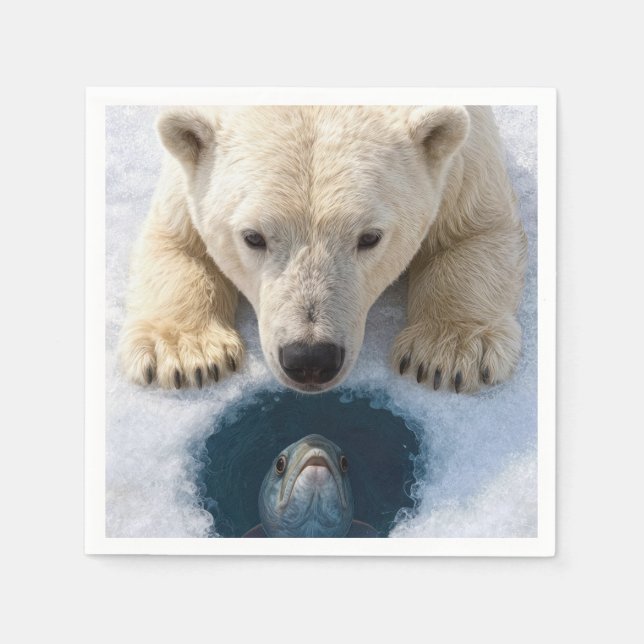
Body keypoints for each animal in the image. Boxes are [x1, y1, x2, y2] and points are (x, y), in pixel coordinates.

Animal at [119, 105, 527, 394]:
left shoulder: (467, 155)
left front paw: (449, 354)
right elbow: (177, 239)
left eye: (369, 237)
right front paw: (187, 355)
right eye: (253, 237)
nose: (310, 358)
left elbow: (476, 231)